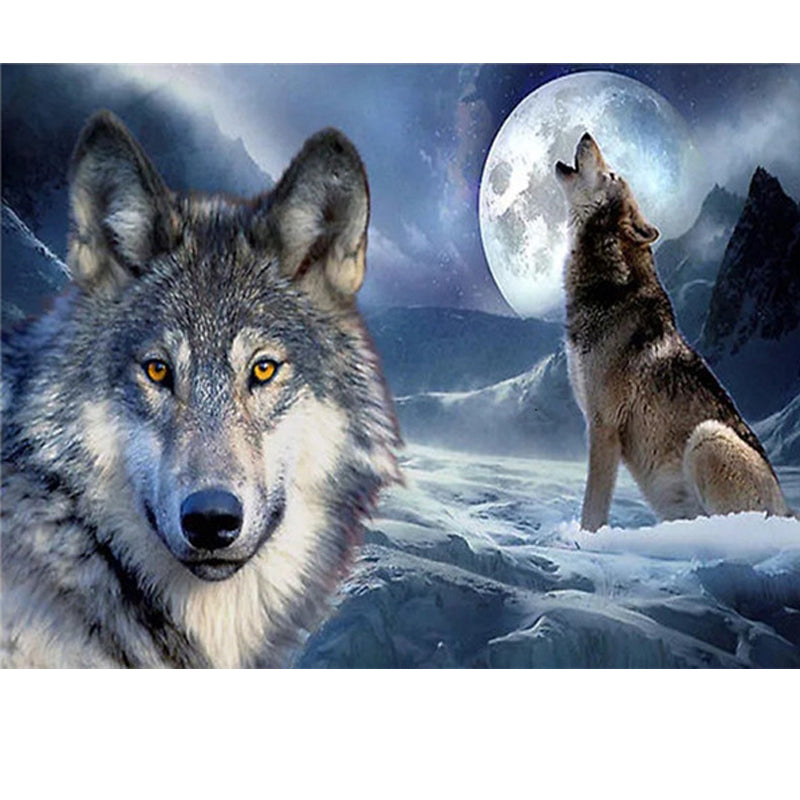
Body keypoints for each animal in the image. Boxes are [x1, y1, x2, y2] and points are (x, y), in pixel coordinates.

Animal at [555, 132, 791, 532]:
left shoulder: (603, 426)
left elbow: (593, 508)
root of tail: (789, 512)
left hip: (707, 436)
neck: (608, 289)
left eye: (612, 174)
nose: (587, 134)